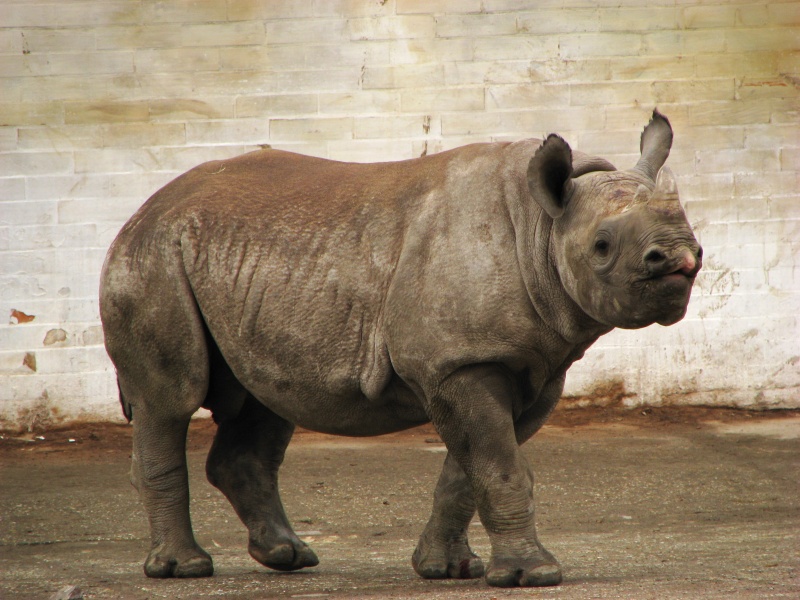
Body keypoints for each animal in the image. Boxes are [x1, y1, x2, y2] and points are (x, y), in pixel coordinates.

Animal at [99, 110, 702, 588]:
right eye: (602, 245)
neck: (542, 227)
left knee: (264, 397)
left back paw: (288, 557)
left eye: (690, 227)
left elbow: (469, 469)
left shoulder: (530, 368)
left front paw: (447, 570)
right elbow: (499, 464)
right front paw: (534, 576)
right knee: (170, 399)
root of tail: (142, 210)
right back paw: (184, 569)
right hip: (152, 257)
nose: (681, 258)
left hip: (240, 263)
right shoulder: (461, 361)